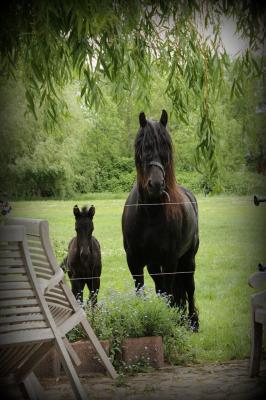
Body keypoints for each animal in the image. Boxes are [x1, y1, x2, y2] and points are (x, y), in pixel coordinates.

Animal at [121, 110, 198, 332]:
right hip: (154, 265)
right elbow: (143, 291)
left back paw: (193, 322)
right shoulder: (134, 261)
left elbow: (170, 294)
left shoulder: (170, 260)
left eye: (166, 148)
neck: (150, 213)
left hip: (187, 261)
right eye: (142, 148)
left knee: (189, 288)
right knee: (161, 287)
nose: (156, 185)